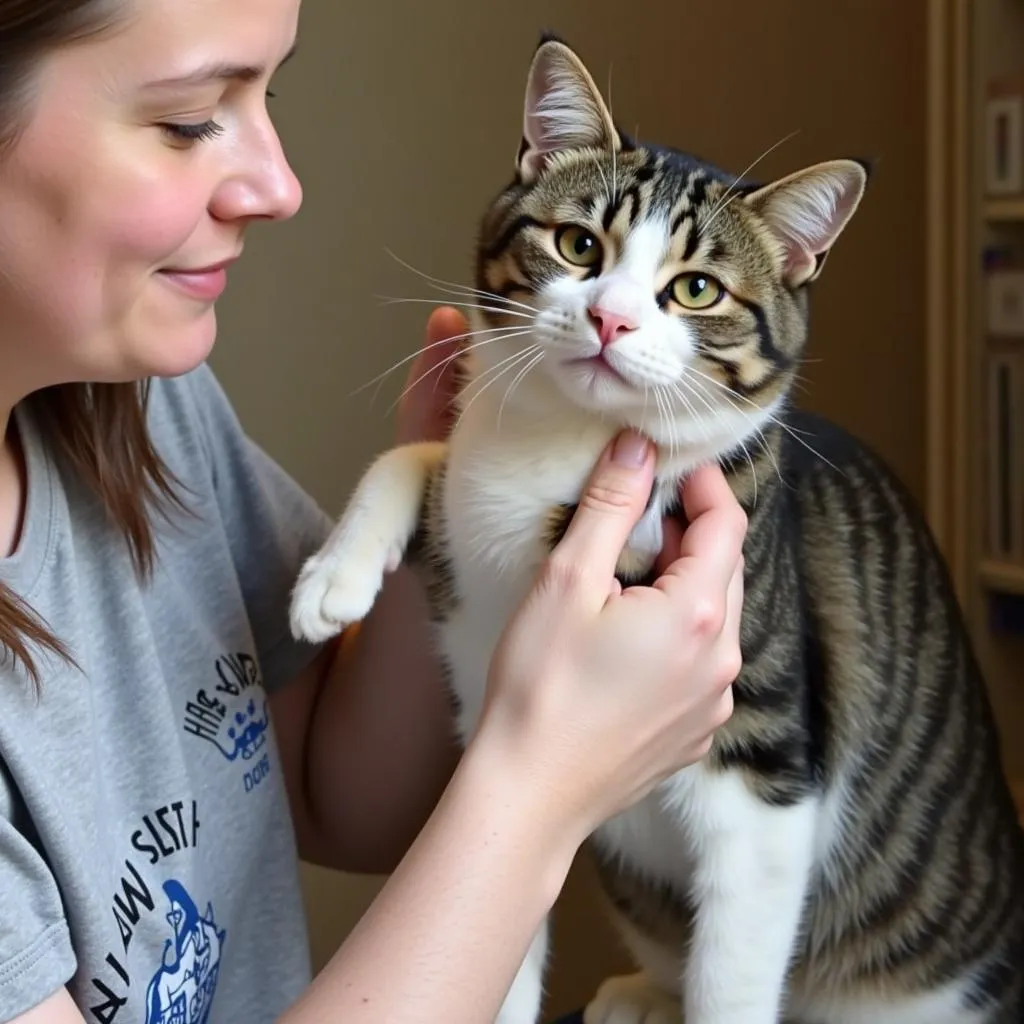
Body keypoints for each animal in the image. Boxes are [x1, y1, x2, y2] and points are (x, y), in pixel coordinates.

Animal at [288, 32, 1024, 1024]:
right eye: (576, 244)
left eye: (697, 289)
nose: (610, 317)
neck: (564, 446)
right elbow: (428, 456)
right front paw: (335, 575)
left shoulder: (763, 776)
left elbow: (732, 975)